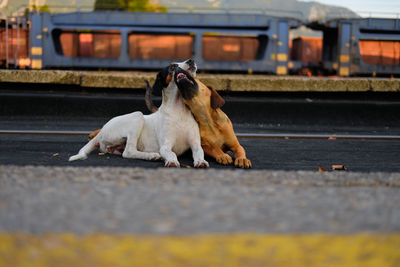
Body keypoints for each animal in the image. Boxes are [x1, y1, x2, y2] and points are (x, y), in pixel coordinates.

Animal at [68, 59, 209, 169]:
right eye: (172, 67)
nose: (191, 60)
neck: (178, 110)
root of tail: (102, 131)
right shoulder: (165, 146)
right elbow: (171, 153)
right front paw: (172, 161)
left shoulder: (195, 144)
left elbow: (199, 152)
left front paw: (201, 161)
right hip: (137, 117)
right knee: (128, 151)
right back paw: (151, 155)